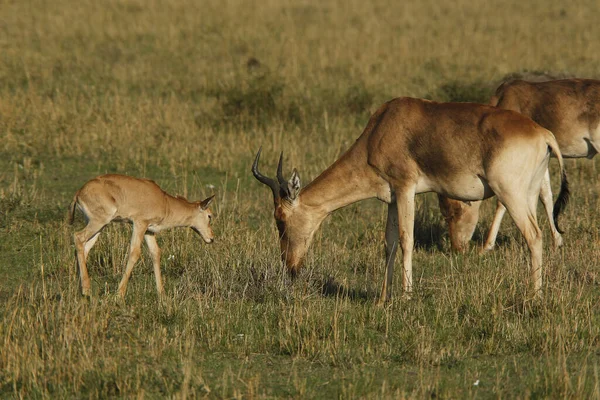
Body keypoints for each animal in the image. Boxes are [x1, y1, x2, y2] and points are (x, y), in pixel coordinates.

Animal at [69, 173, 214, 298]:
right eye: (210, 216)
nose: (211, 238)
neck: (164, 200)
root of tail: (79, 192)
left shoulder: (149, 231)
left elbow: (156, 252)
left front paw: (161, 293)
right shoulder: (139, 224)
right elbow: (135, 252)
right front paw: (119, 293)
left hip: (99, 226)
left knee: (85, 247)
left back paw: (80, 289)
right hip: (99, 222)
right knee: (78, 237)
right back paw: (86, 290)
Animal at [252, 97, 568, 304]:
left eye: (280, 219)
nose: (291, 266)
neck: (382, 127)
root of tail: (543, 134)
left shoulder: (406, 188)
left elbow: (406, 239)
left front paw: (406, 296)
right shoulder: (392, 198)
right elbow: (389, 243)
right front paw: (382, 299)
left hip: (511, 194)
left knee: (534, 236)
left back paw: (534, 296)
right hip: (530, 193)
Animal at [440, 78, 596, 252]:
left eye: (455, 211)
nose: (457, 249)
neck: (506, 96)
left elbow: (502, 202)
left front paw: (486, 247)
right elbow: (545, 196)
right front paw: (557, 243)